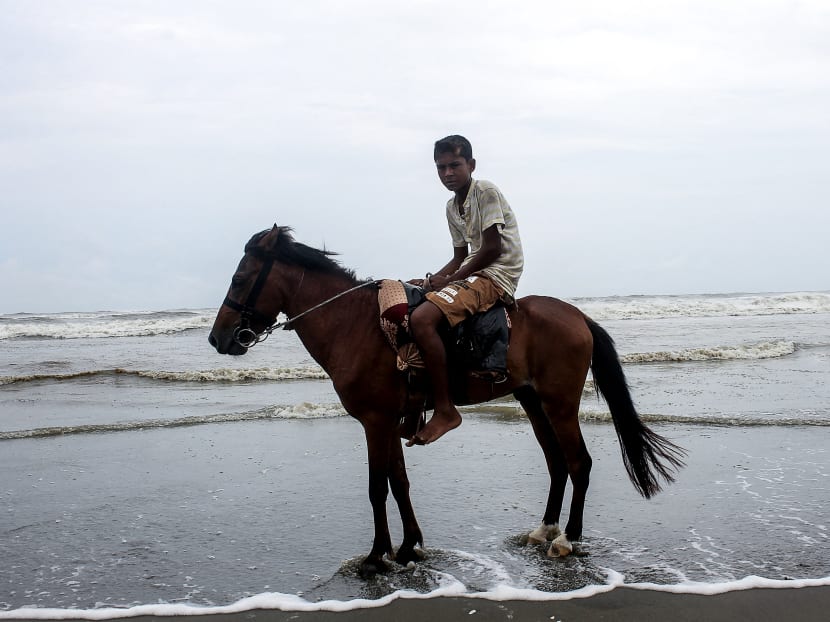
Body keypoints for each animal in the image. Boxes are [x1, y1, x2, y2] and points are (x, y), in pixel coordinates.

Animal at [208, 225, 685, 577]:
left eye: (239, 278)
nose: (218, 338)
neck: (354, 326)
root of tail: (578, 316)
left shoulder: (375, 421)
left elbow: (377, 488)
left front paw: (377, 556)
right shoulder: (390, 422)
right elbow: (399, 483)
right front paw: (408, 547)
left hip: (560, 403)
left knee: (578, 463)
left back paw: (568, 537)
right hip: (532, 401)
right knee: (556, 462)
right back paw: (545, 529)